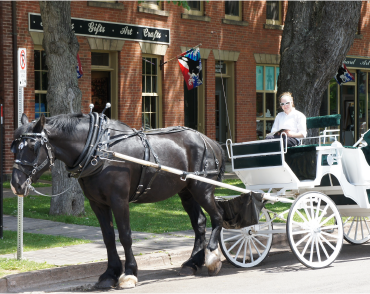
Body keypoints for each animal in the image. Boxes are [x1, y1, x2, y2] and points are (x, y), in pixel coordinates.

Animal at [10, 112, 225, 290]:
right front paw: (109, 274)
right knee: (199, 223)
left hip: (202, 189)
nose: (16, 184)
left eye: (32, 147)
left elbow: (125, 236)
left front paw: (129, 274)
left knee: (217, 217)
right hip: (186, 192)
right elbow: (108, 237)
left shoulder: (119, 200)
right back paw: (192, 263)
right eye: (14, 148)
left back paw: (213, 257)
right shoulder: (97, 203)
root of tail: (210, 141)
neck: (100, 151)